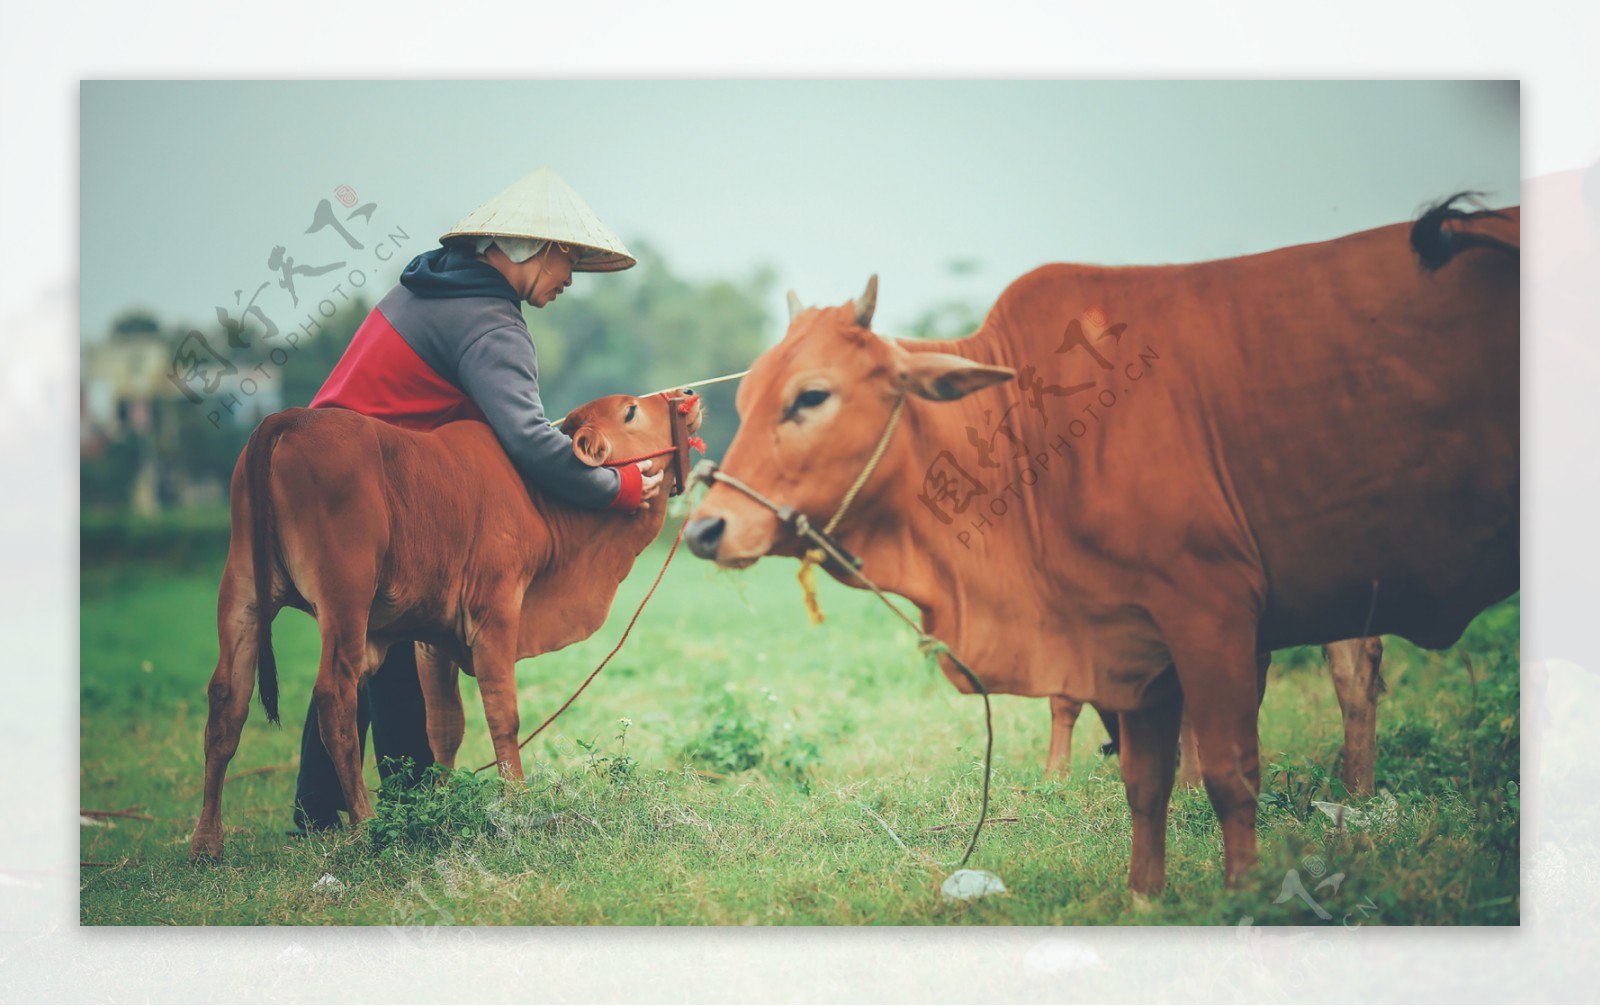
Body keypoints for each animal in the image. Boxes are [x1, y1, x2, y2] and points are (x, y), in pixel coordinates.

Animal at [188, 388, 700, 857]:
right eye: (631, 410)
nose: (688, 396)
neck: (541, 504)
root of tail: (290, 419)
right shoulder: (496, 613)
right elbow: (503, 716)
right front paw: (518, 803)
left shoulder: (433, 637)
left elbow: (444, 725)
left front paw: (443, 802)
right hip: (344, 596)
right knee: (335, 699)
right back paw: (365, 827)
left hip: (242, 591)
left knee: (227, 701)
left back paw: (207, 843)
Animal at [684, 199, 1510, 889]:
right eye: (743, 398)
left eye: (811, 396)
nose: (703, 527)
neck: (1022, 433)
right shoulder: (1122, 634)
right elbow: (1143, 780)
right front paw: (1144, 895)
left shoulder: (1208, 610)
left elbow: (1230, 768)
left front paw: (1244, 892)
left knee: (1352, 671)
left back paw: (1358, 794)